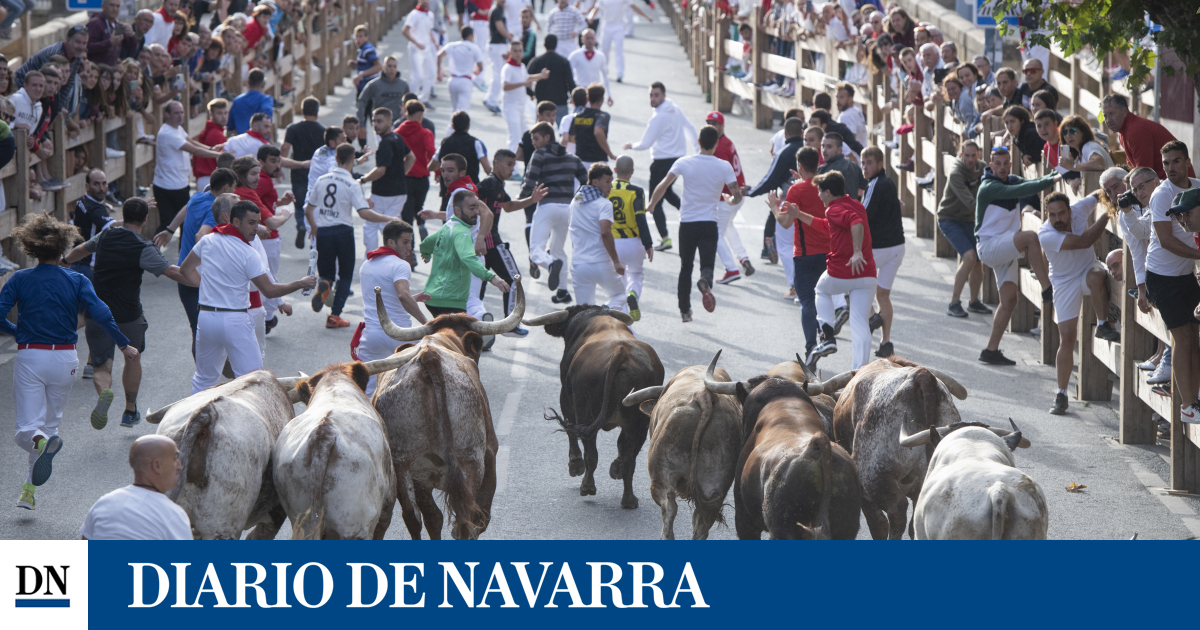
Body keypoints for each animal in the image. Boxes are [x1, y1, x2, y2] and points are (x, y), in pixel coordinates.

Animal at [372, 280, 528, 540]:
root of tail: (429, 357)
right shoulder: (490, 454)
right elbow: (481, 517)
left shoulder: (419, 477)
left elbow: (432, 517)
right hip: (471, 461)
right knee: (466, 519)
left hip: (402, 463)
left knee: (414, 517)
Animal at [525, 303, 667, 506]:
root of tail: (622, 352)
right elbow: (622, 445)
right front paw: (615, 468)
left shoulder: (566, 398)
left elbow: (570, 430)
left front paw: (575, 465)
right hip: (639, 423)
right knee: (629, 459)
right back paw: (628, 498)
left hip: (586, 413)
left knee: (590, 451)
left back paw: (587, 487)